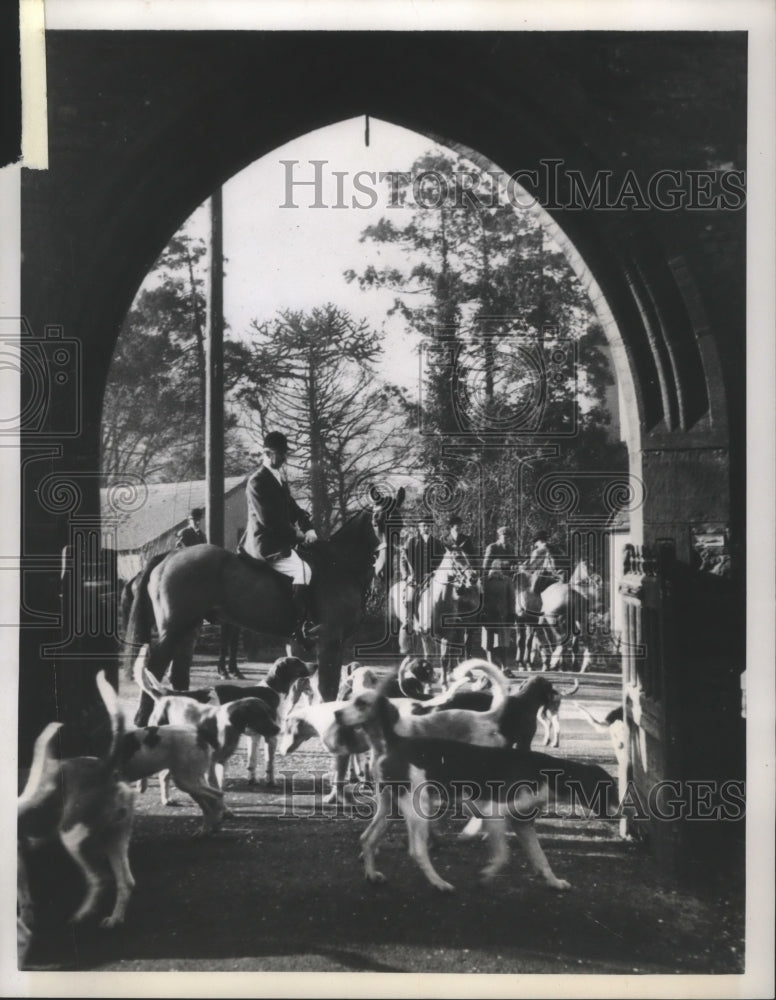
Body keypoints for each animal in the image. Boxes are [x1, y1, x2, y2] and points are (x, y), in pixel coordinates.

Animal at [123, 484, 404, 720]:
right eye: (376, 521)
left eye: (401, 523)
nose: (386, 571)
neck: (340, 564)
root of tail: (170, 555)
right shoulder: (330, 640)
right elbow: (327, 691)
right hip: (172, 630)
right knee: (154, 669)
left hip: (188, 630)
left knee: (178, 676)